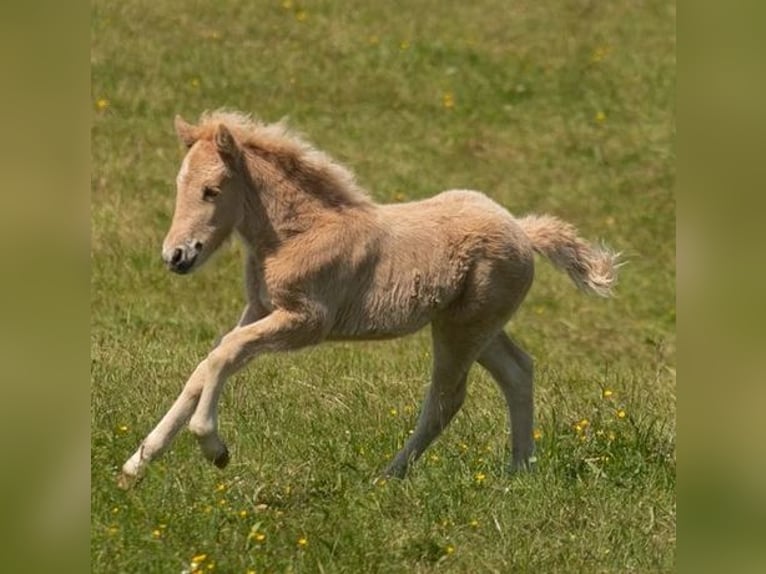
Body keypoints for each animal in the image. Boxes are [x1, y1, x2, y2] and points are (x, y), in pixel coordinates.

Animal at [121, 110, 624, 488]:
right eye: (179, 185)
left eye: (212, 190)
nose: (176, 256)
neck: (298, 232)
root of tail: (522, 229)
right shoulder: (261, 308)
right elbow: (207, 363)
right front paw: (136, 464)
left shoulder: (306, 321)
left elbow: (225, 353)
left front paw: (214, 447)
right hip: (475, 325)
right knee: (518, 372)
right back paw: (519, 471)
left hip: (462, 328)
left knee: (446, 398)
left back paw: (390, 475)